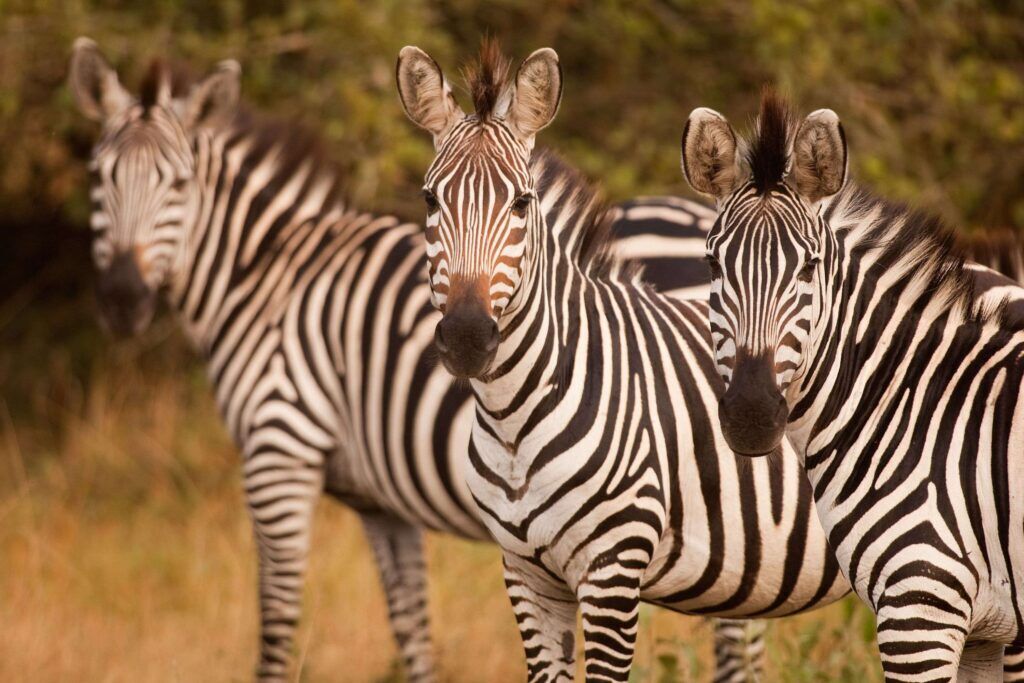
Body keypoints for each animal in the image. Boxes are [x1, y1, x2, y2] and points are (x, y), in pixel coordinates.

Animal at [68, 38, 765, 683]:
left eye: (178, 183)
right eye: (100, 178)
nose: (123, 300)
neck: (268, 275)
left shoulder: (280, 450)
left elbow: (277, 617)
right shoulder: (384, 505)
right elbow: (410, 624)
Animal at [391, 42, 847, 683]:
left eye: (522, 202)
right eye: (430, 200)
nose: (465, 337)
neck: (513, 420)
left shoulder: (613, 569)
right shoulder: (526, 576)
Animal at [679, 89, 1024, 679]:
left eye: (808, 268)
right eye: (712, 265)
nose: (750, 415)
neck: (918, 414)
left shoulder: (919, 607)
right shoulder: (982, 632)